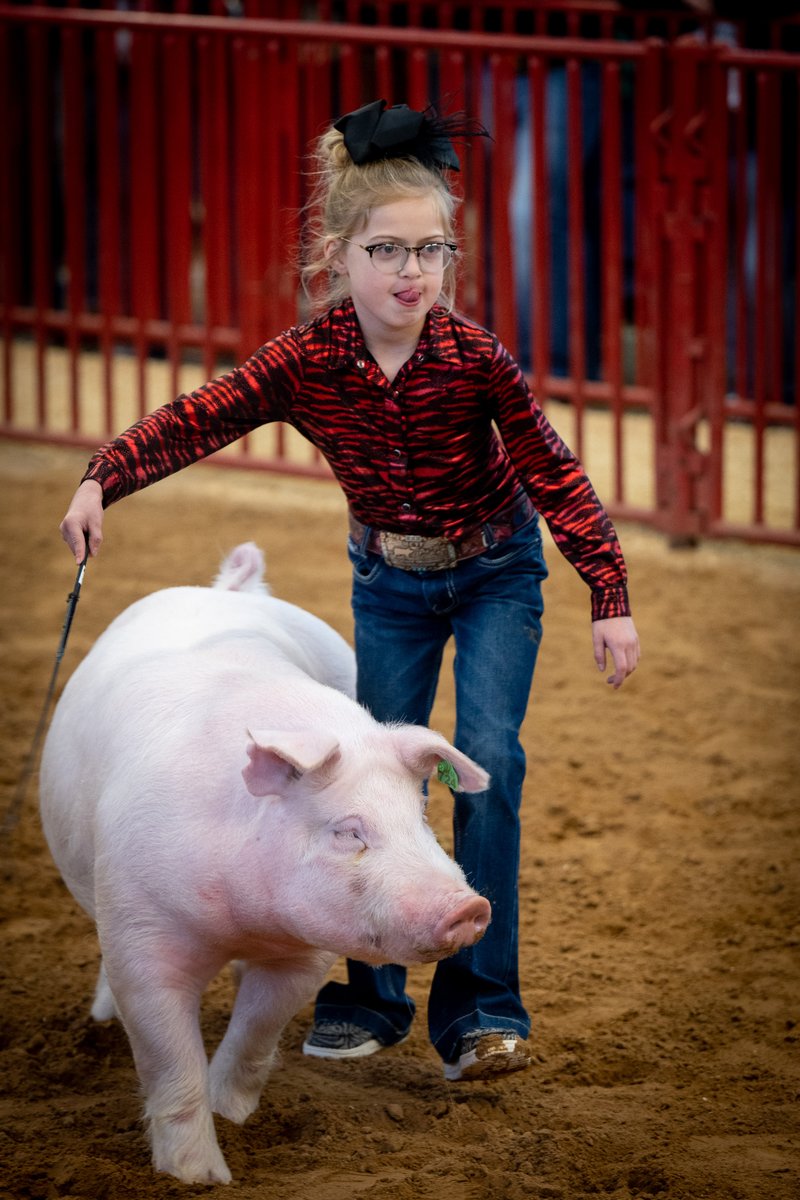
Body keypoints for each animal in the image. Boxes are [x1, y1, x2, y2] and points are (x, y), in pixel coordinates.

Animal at [38, 549, 494, 1185]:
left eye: (421, 814)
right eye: (347, 831)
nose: (471, 907)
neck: (241, 920)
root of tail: (233, 590)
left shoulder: (304, 954)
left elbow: (255, 1033)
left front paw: (229, 1114)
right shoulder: (142, 935)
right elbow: (168, 1056)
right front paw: (200, 1178)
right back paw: (102, 1019)